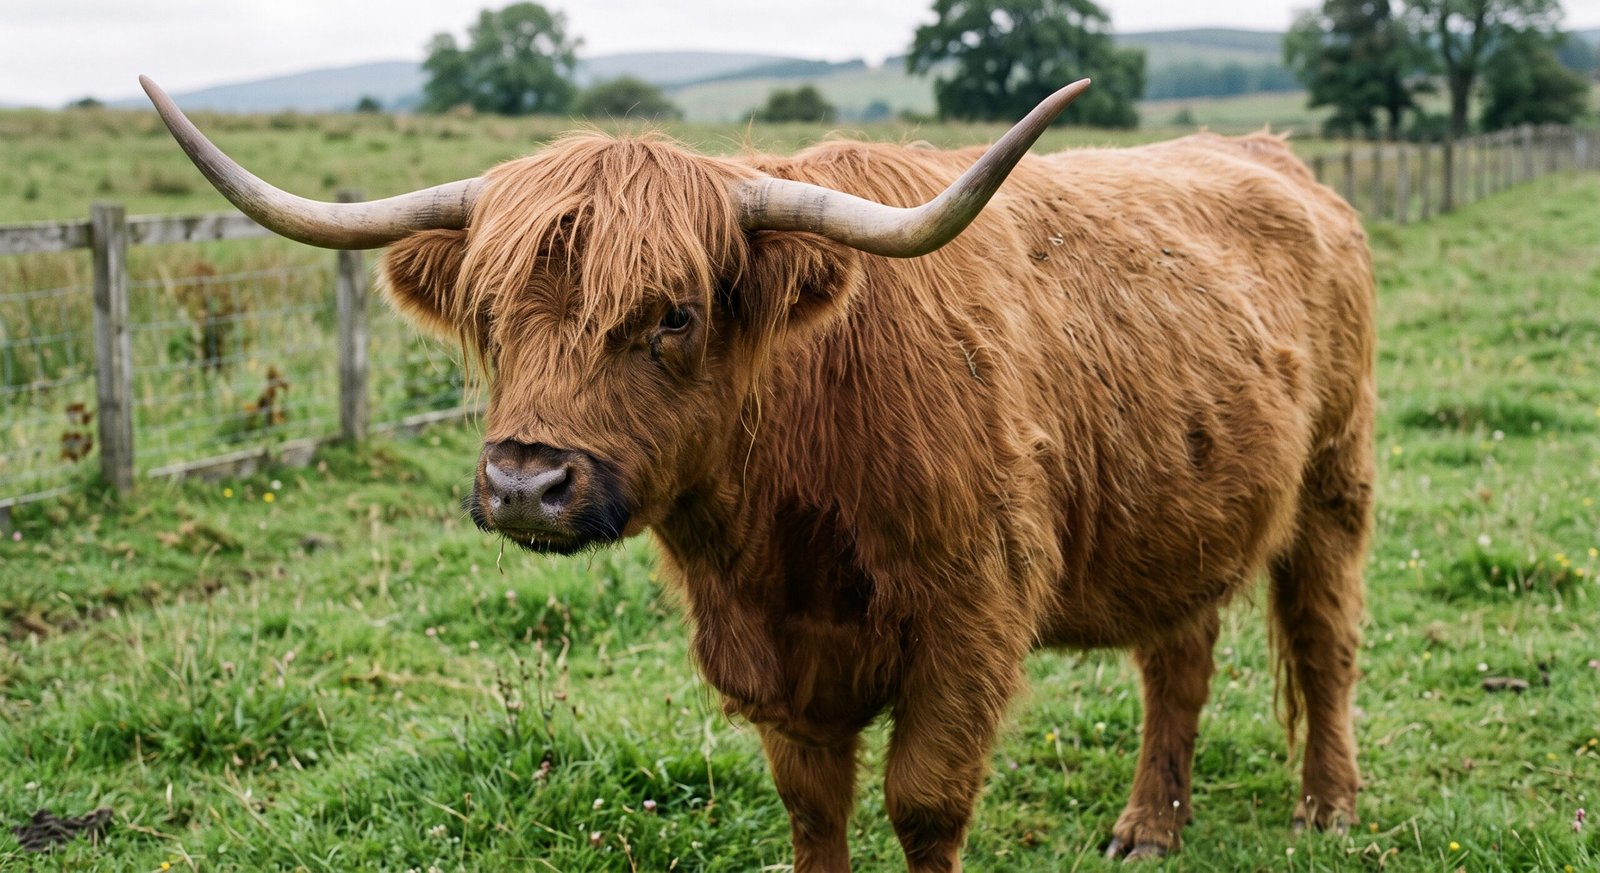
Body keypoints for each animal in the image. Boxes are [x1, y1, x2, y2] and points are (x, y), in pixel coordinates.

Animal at [142, 75, 1374, 871]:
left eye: (674, 315)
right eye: (489, 315)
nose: (527, 484)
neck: (790, 522)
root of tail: (1267, 152)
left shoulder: (969, 625)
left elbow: (925, 806)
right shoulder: (776, 664)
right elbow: (812, 813)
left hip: (1334, 481)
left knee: (1323, 637)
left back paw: (1326, 807)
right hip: (1187, 505)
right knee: (1180, 658)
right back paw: (1148, 827)